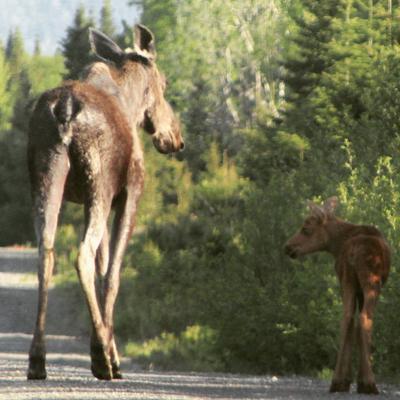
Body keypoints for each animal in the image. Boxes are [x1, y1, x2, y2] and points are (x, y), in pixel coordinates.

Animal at [27, 25, 184, 382]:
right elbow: (112, 275)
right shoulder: (128, 195)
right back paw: (100, 358)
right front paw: (114, 355)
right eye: (165, 83)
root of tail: (65, 110)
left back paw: (37, 359)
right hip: (98, 182)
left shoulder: (90, 200)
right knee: (82, 255)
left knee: (46, 252)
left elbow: (102, 269)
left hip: (46, 176)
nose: (176, 137)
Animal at [284, 197, 390, 394]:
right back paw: (368, 383)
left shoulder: (353, 287)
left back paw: (338, 381)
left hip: (348, 280)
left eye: (306, 229)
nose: (287, 247)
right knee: (364, 318)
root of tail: (354, 252)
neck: (336, 244)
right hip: (370, 282)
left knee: (347, 318)